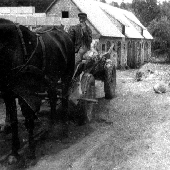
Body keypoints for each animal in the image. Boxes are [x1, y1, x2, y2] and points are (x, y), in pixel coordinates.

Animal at [0, 19, 75, 164]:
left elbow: (29, 120)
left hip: (67, 76)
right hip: (51, 80)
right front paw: (14, 152)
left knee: (64, 98)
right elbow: (14, 121)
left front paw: (31, 151)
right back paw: (51, 126)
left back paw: (64, 128)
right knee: (53, 98)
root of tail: (64, 33)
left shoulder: (27, 94)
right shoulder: (8, 94)